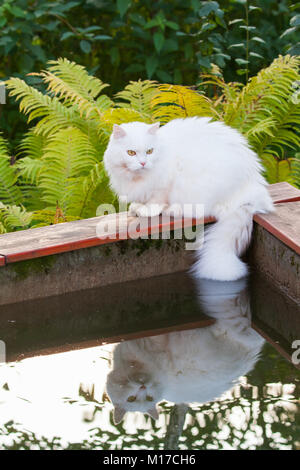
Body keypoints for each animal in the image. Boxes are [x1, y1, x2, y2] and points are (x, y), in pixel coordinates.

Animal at [103, 117, 274, 280]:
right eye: (131, 153)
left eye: (150, 151)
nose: (143, 163)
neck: (137, 179)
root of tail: (252, 193)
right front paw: (137, 207)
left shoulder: (164, 184)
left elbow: (156, 201)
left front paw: (147, 210)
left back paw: (172, 210)